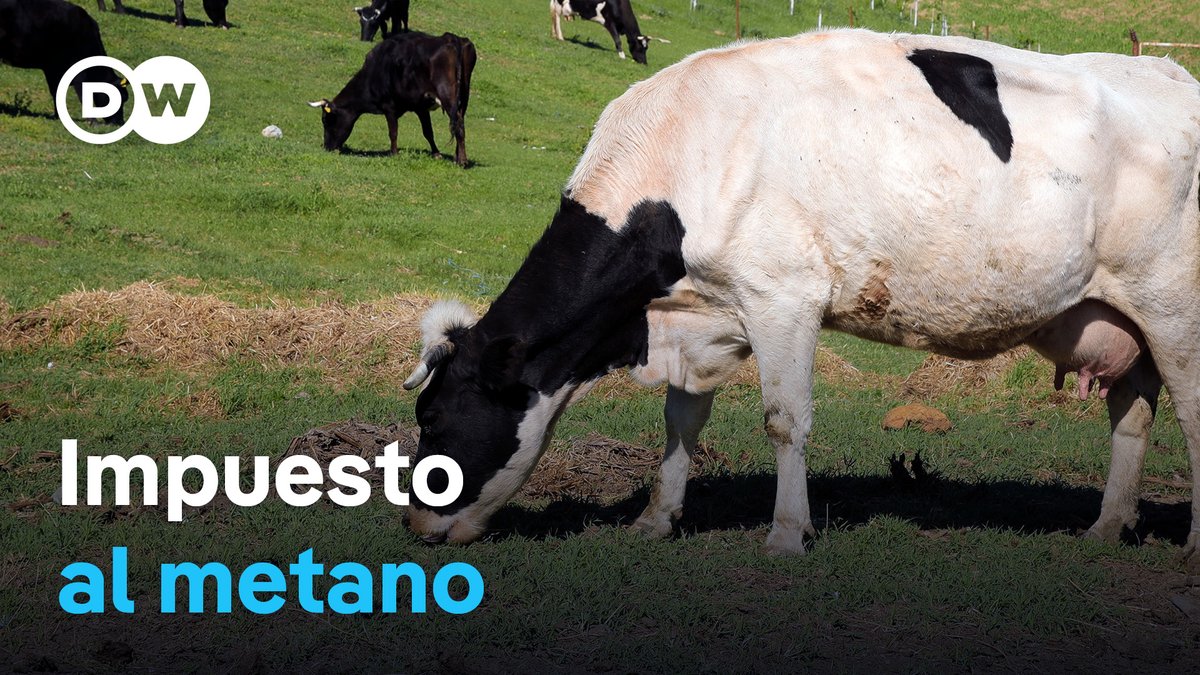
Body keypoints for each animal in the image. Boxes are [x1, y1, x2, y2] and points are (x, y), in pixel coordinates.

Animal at [308, 31, 475, 166]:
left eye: (326, 120)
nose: (327, 147)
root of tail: (451, 38)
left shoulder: (389, 106)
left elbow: (393, 132)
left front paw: (394, 153)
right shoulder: (420, 107)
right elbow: (428, 131)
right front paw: (436, 153)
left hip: (447, 94)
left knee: (457, 124)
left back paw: (462, 161)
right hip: (463, 97)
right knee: (460, 123)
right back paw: (458, 157)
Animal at [400, 29, 1200, 565]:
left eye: (433, 418)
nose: (412, 525)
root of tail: (1170, 70)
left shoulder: (783, 297)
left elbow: (785, 421)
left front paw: (787, 533)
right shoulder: (703, 314)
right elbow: (681, 422)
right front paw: (657, 518)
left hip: (1175, 310)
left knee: (1190, 416)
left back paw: (1188, 547)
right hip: (1122, 317)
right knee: (1132, 417)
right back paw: (1106, 528)